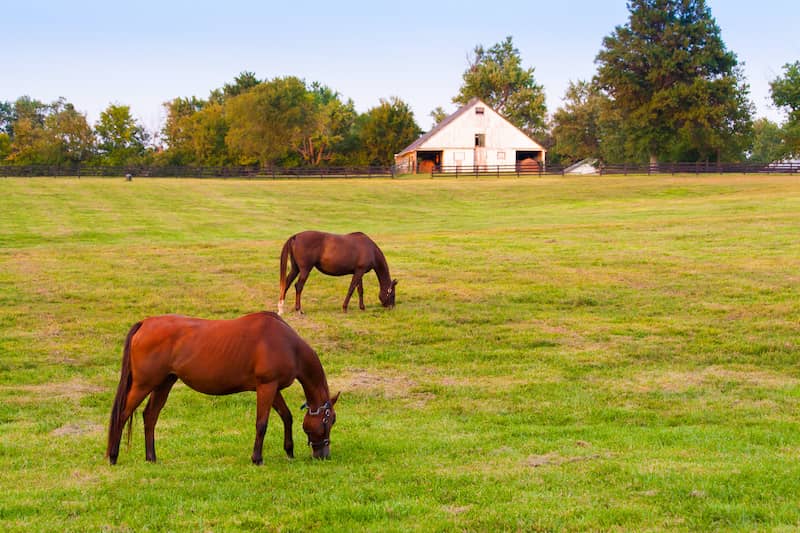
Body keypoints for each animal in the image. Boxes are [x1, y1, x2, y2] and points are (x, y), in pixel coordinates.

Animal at [107, 310, 340, 464]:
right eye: (328, 421)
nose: (324, 455)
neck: (289, 345)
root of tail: (145, 323)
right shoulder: (266, 387)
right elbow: (262, 424)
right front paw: (257, 458)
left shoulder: (272, 389)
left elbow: (287, 416)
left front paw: (289, 451)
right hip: (143, 384)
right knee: (123, 414)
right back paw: (113, 456)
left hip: (164, 383)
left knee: (150, 416)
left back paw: (151, 457)